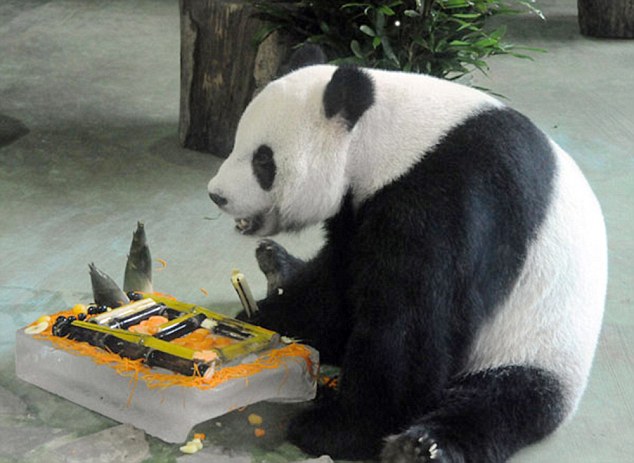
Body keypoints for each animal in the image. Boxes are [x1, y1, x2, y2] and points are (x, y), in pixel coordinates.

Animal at [205, 48, 604, 463]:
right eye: (236, 144)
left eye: (263, 161)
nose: (217, 195)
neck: (388, 140)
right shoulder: (358, 208)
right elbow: (339, 282)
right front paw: (267, 319)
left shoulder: (452, 196)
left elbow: (410, 319)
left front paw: (339, 431)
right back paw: (278, 265)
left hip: (537, 345)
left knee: (501, 401)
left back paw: (420, 446)